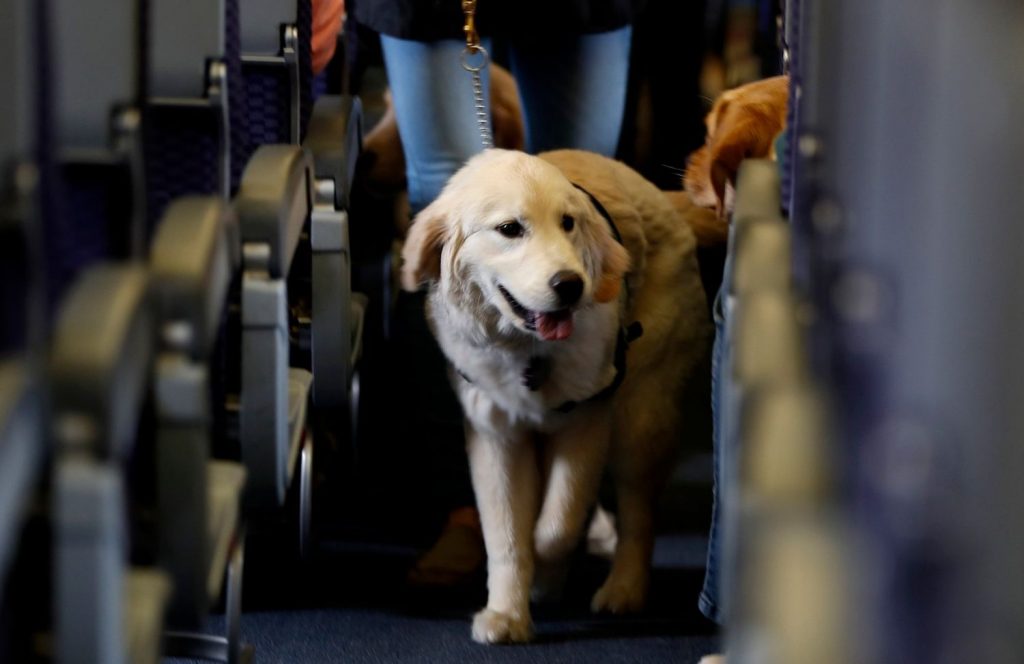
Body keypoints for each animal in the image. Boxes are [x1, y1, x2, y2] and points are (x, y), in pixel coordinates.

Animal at [399, 147, 712, 639]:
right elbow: (506, 534)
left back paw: (624, 589)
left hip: (642, 416)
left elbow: (556, 525)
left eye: (568, 223)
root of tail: (660, 196)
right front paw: (507, 614)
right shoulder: (495, 434)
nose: (571, 285)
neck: (528, 350)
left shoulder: (587, 420)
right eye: (510, 229)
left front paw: (545, 573)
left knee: (638, 512)